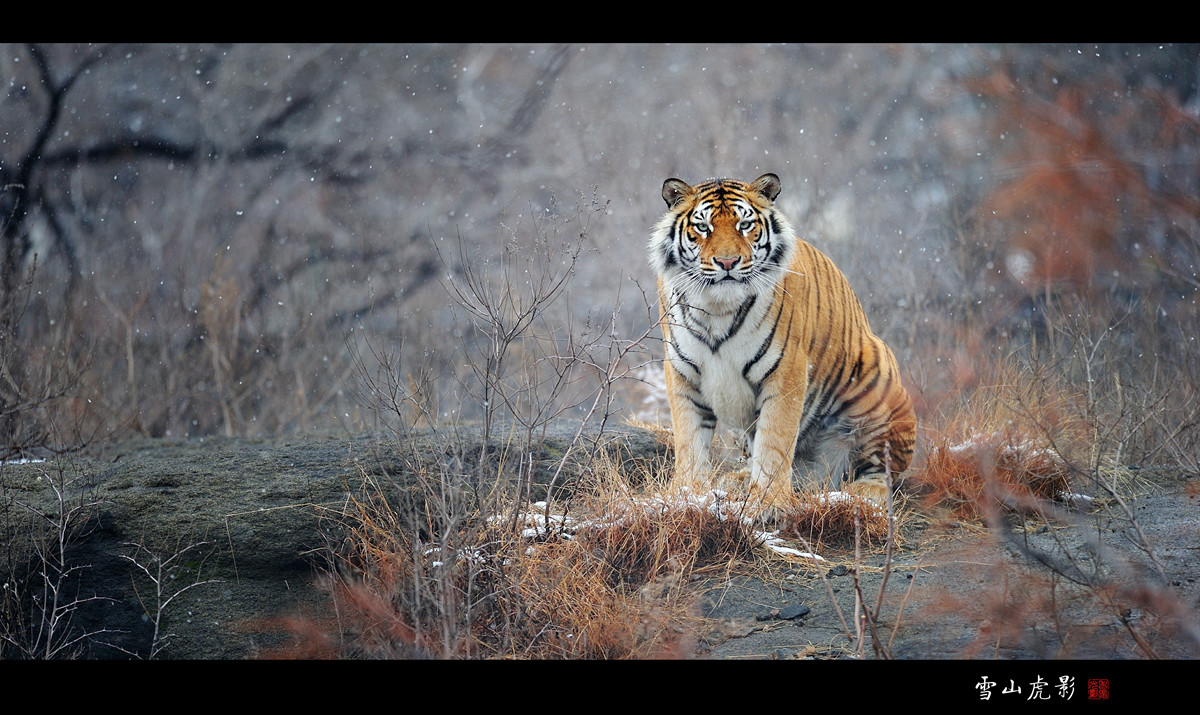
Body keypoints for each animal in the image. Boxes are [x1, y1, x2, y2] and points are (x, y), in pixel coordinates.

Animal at [648, 176, 916, 515]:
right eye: (704, 227)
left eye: (745, 225)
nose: (727, 262)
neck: (717, 308)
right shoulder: (683, 372)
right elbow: (689, 441)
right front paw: (685, 496)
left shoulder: (786, 369)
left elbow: (774, 439)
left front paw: (768, 503)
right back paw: (737, 480)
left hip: (879, 381)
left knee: (882, 471)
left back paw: (862, 492)